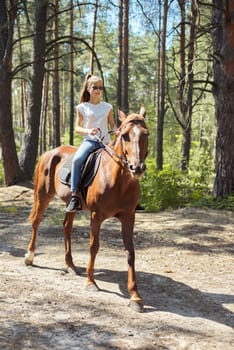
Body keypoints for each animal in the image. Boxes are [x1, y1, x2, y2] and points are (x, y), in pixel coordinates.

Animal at [23, 108, 148, 312]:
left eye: (146, 134)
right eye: (125, 136)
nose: (136, 168)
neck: (118, 180)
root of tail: (49, 152)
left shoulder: (129, 217)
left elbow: (130, 252)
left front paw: (135, 297)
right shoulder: (96, 215)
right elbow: (93, 246)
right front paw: (91, 282)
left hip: (70, 204)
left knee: (66, 227)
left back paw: (70, 265)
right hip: (42, 195)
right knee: (36, 221)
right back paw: (30, 257)